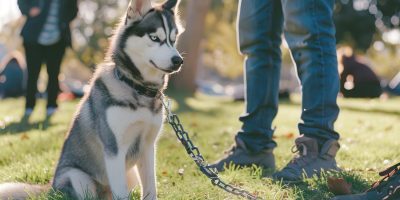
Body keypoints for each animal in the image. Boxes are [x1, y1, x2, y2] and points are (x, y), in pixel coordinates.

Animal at [0, 0, 184, 199]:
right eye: (155, 38)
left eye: (173, 39)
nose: (178, 60)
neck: (137, 87)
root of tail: (50, 186)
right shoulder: (114, 148)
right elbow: (121, 191)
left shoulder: (148, 147)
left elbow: (151, 187)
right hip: (77, 176)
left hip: (131, 175)